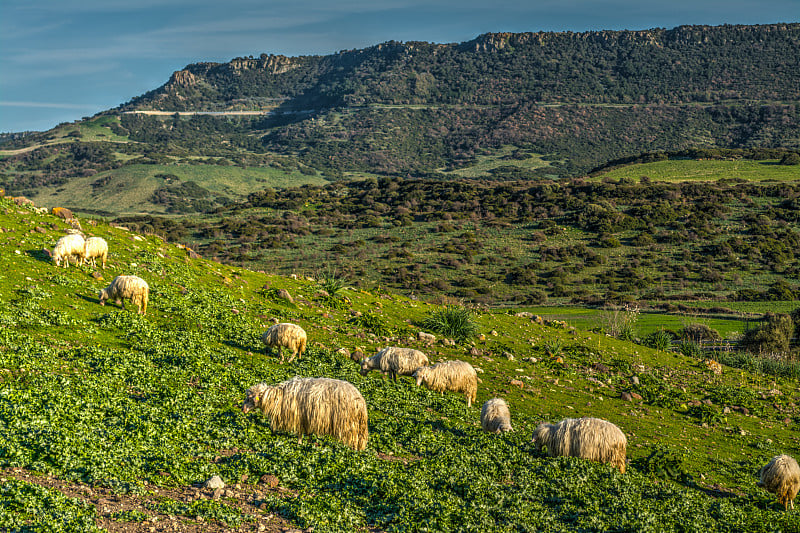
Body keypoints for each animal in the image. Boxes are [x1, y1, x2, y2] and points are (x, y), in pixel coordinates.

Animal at [242, 376, 370, 450]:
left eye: (250, 398)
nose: (243, 409)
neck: (277, 398)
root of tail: (361, 401)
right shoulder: (307, 417)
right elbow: (307, 433)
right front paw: (308, 443)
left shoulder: (299, 416)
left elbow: (300, 432)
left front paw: (299, 443)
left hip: (349, 423)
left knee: (353, 438)